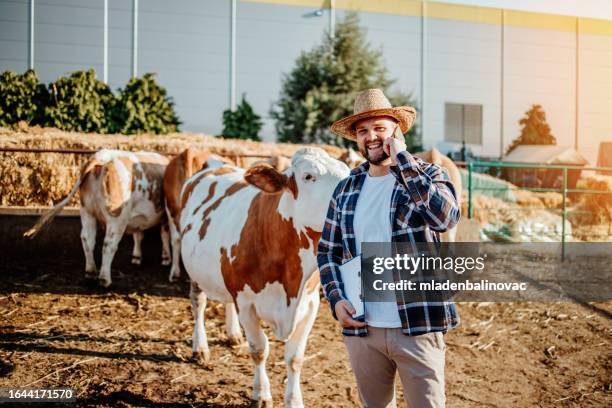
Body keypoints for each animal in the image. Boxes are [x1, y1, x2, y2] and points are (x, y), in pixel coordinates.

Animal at [24, 150, 170, 286]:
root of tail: (103, 156)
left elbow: (138, 235)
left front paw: (137, 257)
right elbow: (164, 235)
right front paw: (166, 258)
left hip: (87, 211)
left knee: (87, 239)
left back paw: (90, 272)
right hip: (116, 217)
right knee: (108, 244)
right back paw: (105, 279)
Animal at [179, 147, 350, 408]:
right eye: (308, 176)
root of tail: (215, 164)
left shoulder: (310, 304)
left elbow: (295, 357)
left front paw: (294, 400)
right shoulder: (246, 302)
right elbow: (259, 350)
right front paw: (261, 394)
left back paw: (233, 335)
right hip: (192, 267)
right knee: (198, 303)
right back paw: (200, 347)